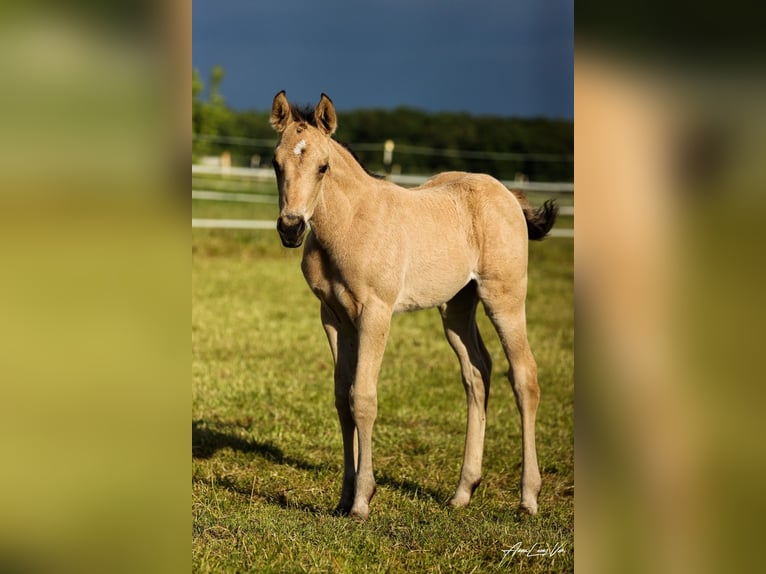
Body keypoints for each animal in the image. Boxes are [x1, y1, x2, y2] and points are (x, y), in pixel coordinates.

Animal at [269, 91, 558, 520]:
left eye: (323, 167)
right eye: (276, 164)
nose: (291, 228)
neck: (350, 223)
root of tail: (507, 193)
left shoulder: (375, 312)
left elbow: (363, 398)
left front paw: (362, 501)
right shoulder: (334, 318)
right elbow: (341, 398)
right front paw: (343, 497)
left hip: (504, 298)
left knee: (524, 377)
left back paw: (528, 498)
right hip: (456, 306)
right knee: (477, 374)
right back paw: (463, 492)